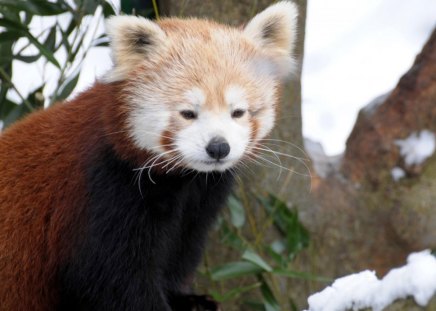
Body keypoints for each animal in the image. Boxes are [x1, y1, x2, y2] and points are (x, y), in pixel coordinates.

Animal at [0, 1, 296, 310]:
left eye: (238, 112)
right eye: (188, 113)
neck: (182, 181)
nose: (218, 147)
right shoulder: (103, 194)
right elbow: (108, 281)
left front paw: (188, 299)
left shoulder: (198, 204)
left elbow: (180, 252)